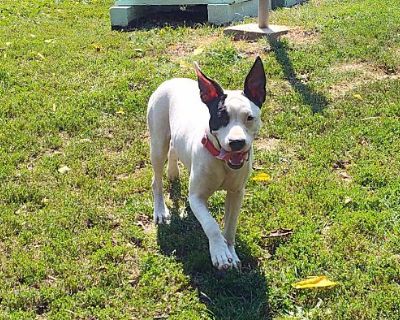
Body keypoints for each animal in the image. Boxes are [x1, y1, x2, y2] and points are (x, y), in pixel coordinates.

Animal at [147, 57, 266, 270]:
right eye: (221, 117)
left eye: (249, 117)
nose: (237, 142)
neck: (223, 162)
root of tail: (172, 80)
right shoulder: (196, 198)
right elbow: (211, 225)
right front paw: (219, 252)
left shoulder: (237, 193)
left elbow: (230, 227)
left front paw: (231, 251)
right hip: (157, 142)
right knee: (157, 180)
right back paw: (160, 210)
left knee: (174, 147)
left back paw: (173, 172)